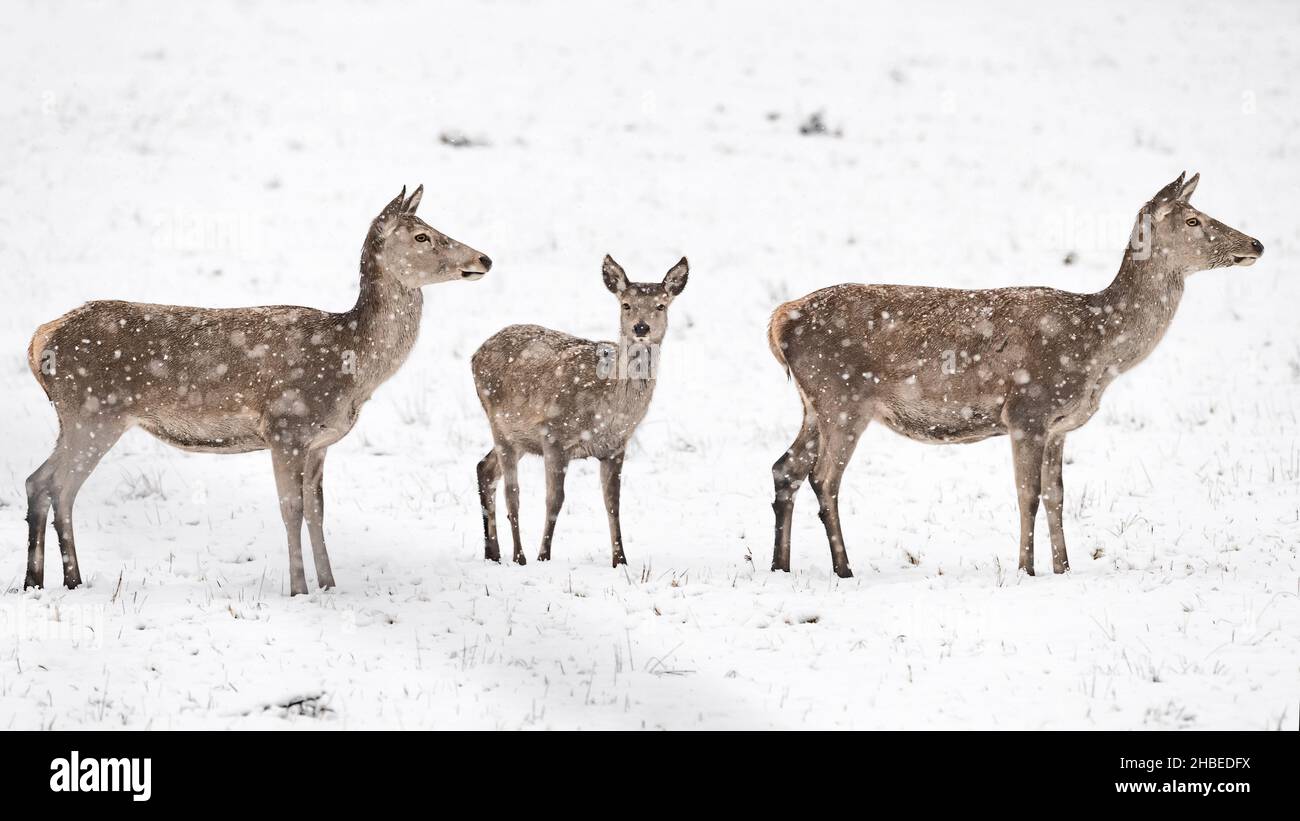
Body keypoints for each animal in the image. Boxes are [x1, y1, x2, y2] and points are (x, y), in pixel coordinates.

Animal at [25, 185, 491, 597]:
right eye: (421, 235)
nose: (484, 258)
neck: (351, 365)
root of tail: (40, 339)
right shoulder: (286, 427)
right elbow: (291, 510)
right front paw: (299, 589)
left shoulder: (319, 443)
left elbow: (318, 512)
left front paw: (329, 585)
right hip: (94, 413)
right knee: (59, 486)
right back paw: (69, 578)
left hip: (77, 418)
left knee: (38, 481)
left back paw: (42, 581)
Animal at [470, 254, 691, 563]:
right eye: (626, 304)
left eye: (661, 304)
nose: (641, 327)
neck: (607, 412)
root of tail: (475, 355)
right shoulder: (553, 435)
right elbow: (555, 500)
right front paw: (544, 556)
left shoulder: (615, 447)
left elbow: (613, 503)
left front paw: (620, 560)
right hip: (498, 423)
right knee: (512, 493)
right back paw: (519, 556)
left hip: (519, 437)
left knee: (485, 468)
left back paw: (493, 552)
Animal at [764, 172, 1263, 576]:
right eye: (1193, 220)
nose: (1256, 244)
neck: (1098, 347)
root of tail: (780, 320)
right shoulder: (1027, 410)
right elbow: (1029, 494)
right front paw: (1027, 569)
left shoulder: (1059, 425)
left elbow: (1057, 496)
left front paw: (1064, 569)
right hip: (843, 398)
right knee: (824, 477)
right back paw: (844, 568)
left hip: (814, 403)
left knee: (785, 467)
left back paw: (780, 566)